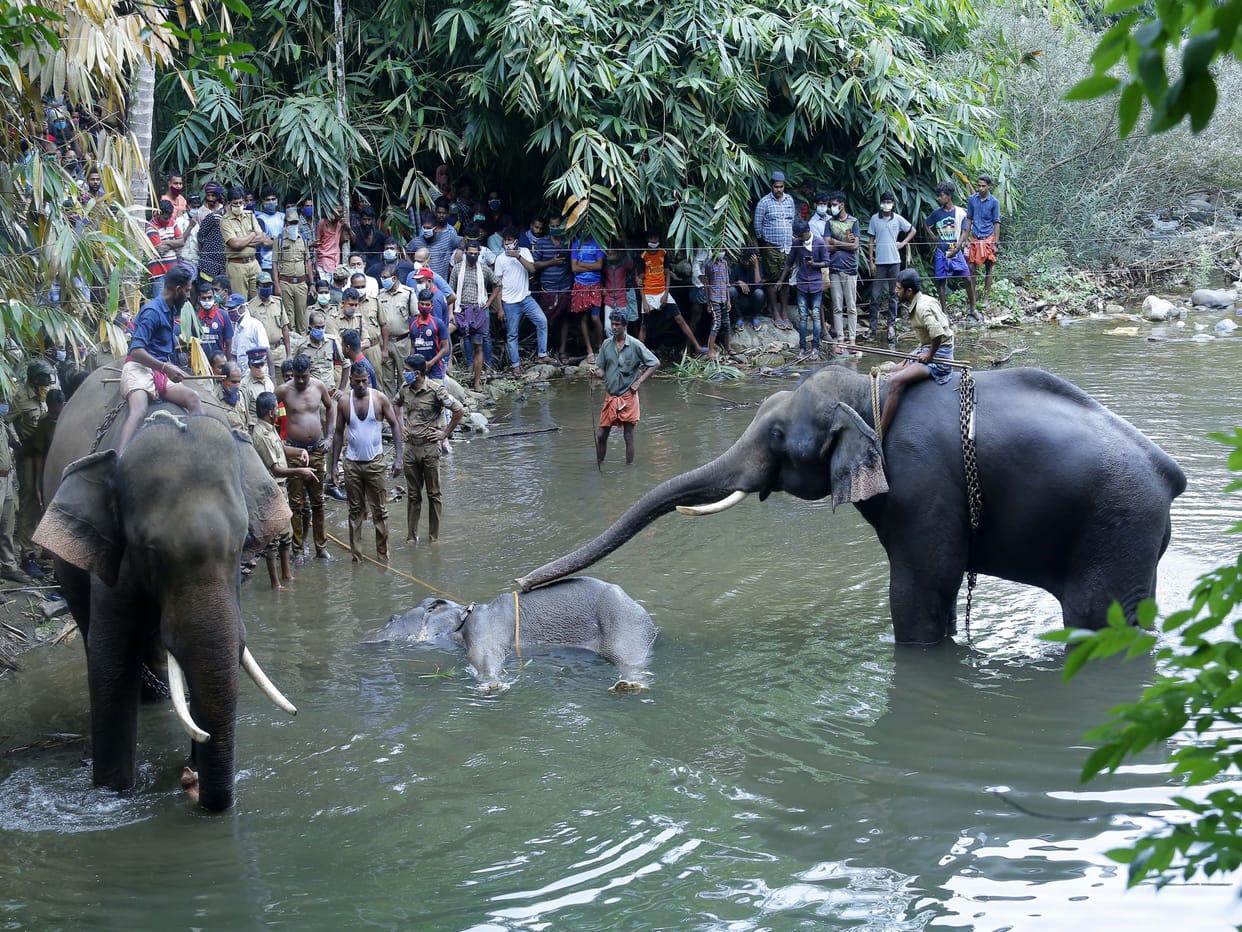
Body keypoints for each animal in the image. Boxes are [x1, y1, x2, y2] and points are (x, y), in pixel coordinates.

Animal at [34, 366, 297, 811]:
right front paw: (114, 794)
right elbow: (110, 661)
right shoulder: (116, 559)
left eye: (240, 541)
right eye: (150, 550)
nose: (193, 781)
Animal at [373, 577, 658, 689]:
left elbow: (483, 655)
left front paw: (493, 686)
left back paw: (628, 686)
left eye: (391, 619)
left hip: (622, 623)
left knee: (628, 658)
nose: (389, 617)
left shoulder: (485, 627)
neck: (464, 613)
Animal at [518, 366, 1186, 645]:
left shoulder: (922, 482)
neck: (873, 391)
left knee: (1099, 618)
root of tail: (1168, 473)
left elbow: (923, 585)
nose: (521, 585)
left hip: (1117, 524)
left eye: (778, 435)